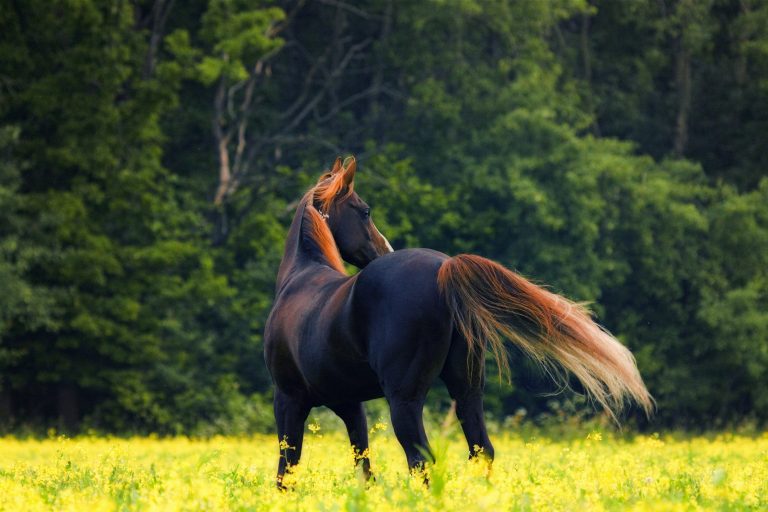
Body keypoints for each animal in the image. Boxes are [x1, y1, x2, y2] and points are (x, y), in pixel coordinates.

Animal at [264, 156, 656, 488]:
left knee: (421, 458)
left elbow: (287, 468)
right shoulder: (350, 405)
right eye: (364, 210)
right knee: (481, 451)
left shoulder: (289, 399)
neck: (301, 277)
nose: (384, 249)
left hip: (404, 399)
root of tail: (444, 268)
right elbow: (364, 467)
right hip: (467, 390)